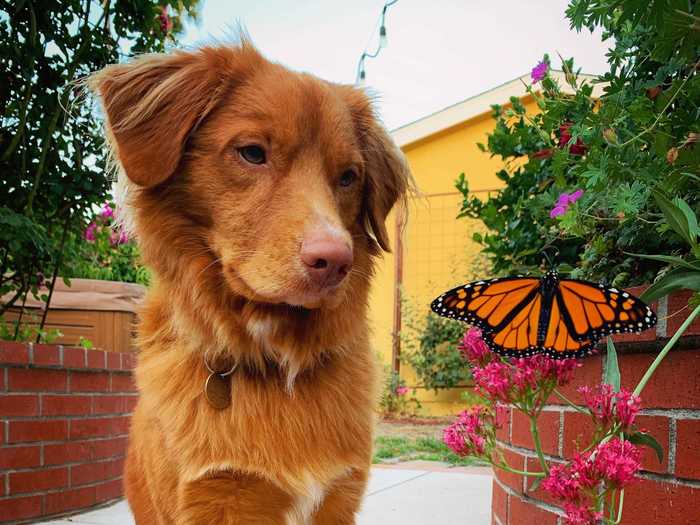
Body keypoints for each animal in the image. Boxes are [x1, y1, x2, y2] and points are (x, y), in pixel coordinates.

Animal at [91, 37, 412, 524]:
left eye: (348, 177)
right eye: (253, 153)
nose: (336, 261)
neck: (278, 361)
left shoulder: (339, 499)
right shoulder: (215, 499)